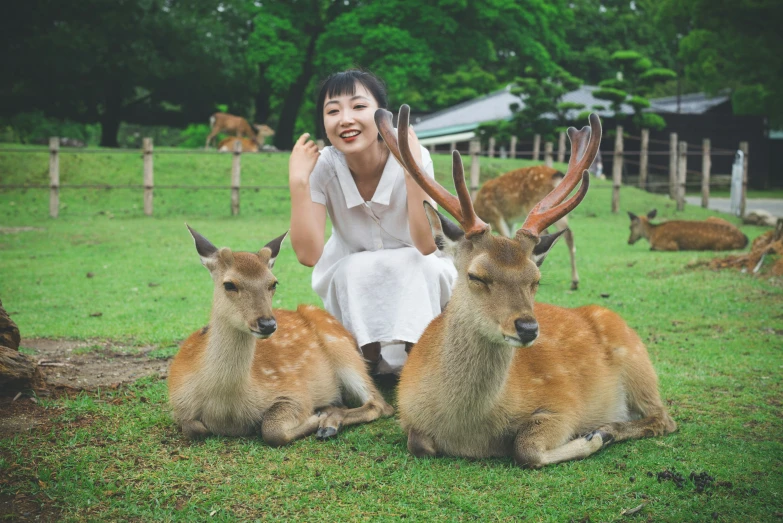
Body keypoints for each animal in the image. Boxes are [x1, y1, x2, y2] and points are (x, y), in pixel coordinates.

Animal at [169, 227, 396, 444]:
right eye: (229, 284)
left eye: (273, 283)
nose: (267, 324)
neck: (226, 408)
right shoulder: (179, 404)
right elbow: (194, 428)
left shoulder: (295, 390)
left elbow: (272, 429)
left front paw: (318, 415)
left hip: (342, 348)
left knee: (380, 404)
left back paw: (329, 422)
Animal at [376, 105, 676, 466]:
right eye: (476, 276)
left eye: (536, 279)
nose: (528, 328)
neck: (467, 431)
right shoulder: (407, 414)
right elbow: (418, 442)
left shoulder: (564, 405)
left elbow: (525, 447)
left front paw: (593, 436)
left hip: (637, 364)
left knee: (663, 418)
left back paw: (609, 428)